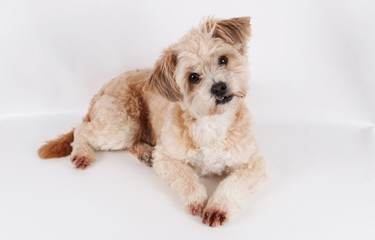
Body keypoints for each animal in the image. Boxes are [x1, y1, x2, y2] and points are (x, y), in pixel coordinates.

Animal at [38, 16, 268, 227]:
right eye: (193, 77)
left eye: (222, 60)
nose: (219, 87)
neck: (212, 122)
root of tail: (102, 89)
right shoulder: (167, 157)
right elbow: (185, 176)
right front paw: (196, 200)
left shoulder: (253, 163)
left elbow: (234, 184)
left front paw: (218, 207)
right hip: (122, 125)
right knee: (81, 129)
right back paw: (82, 153)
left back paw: (145, 153)